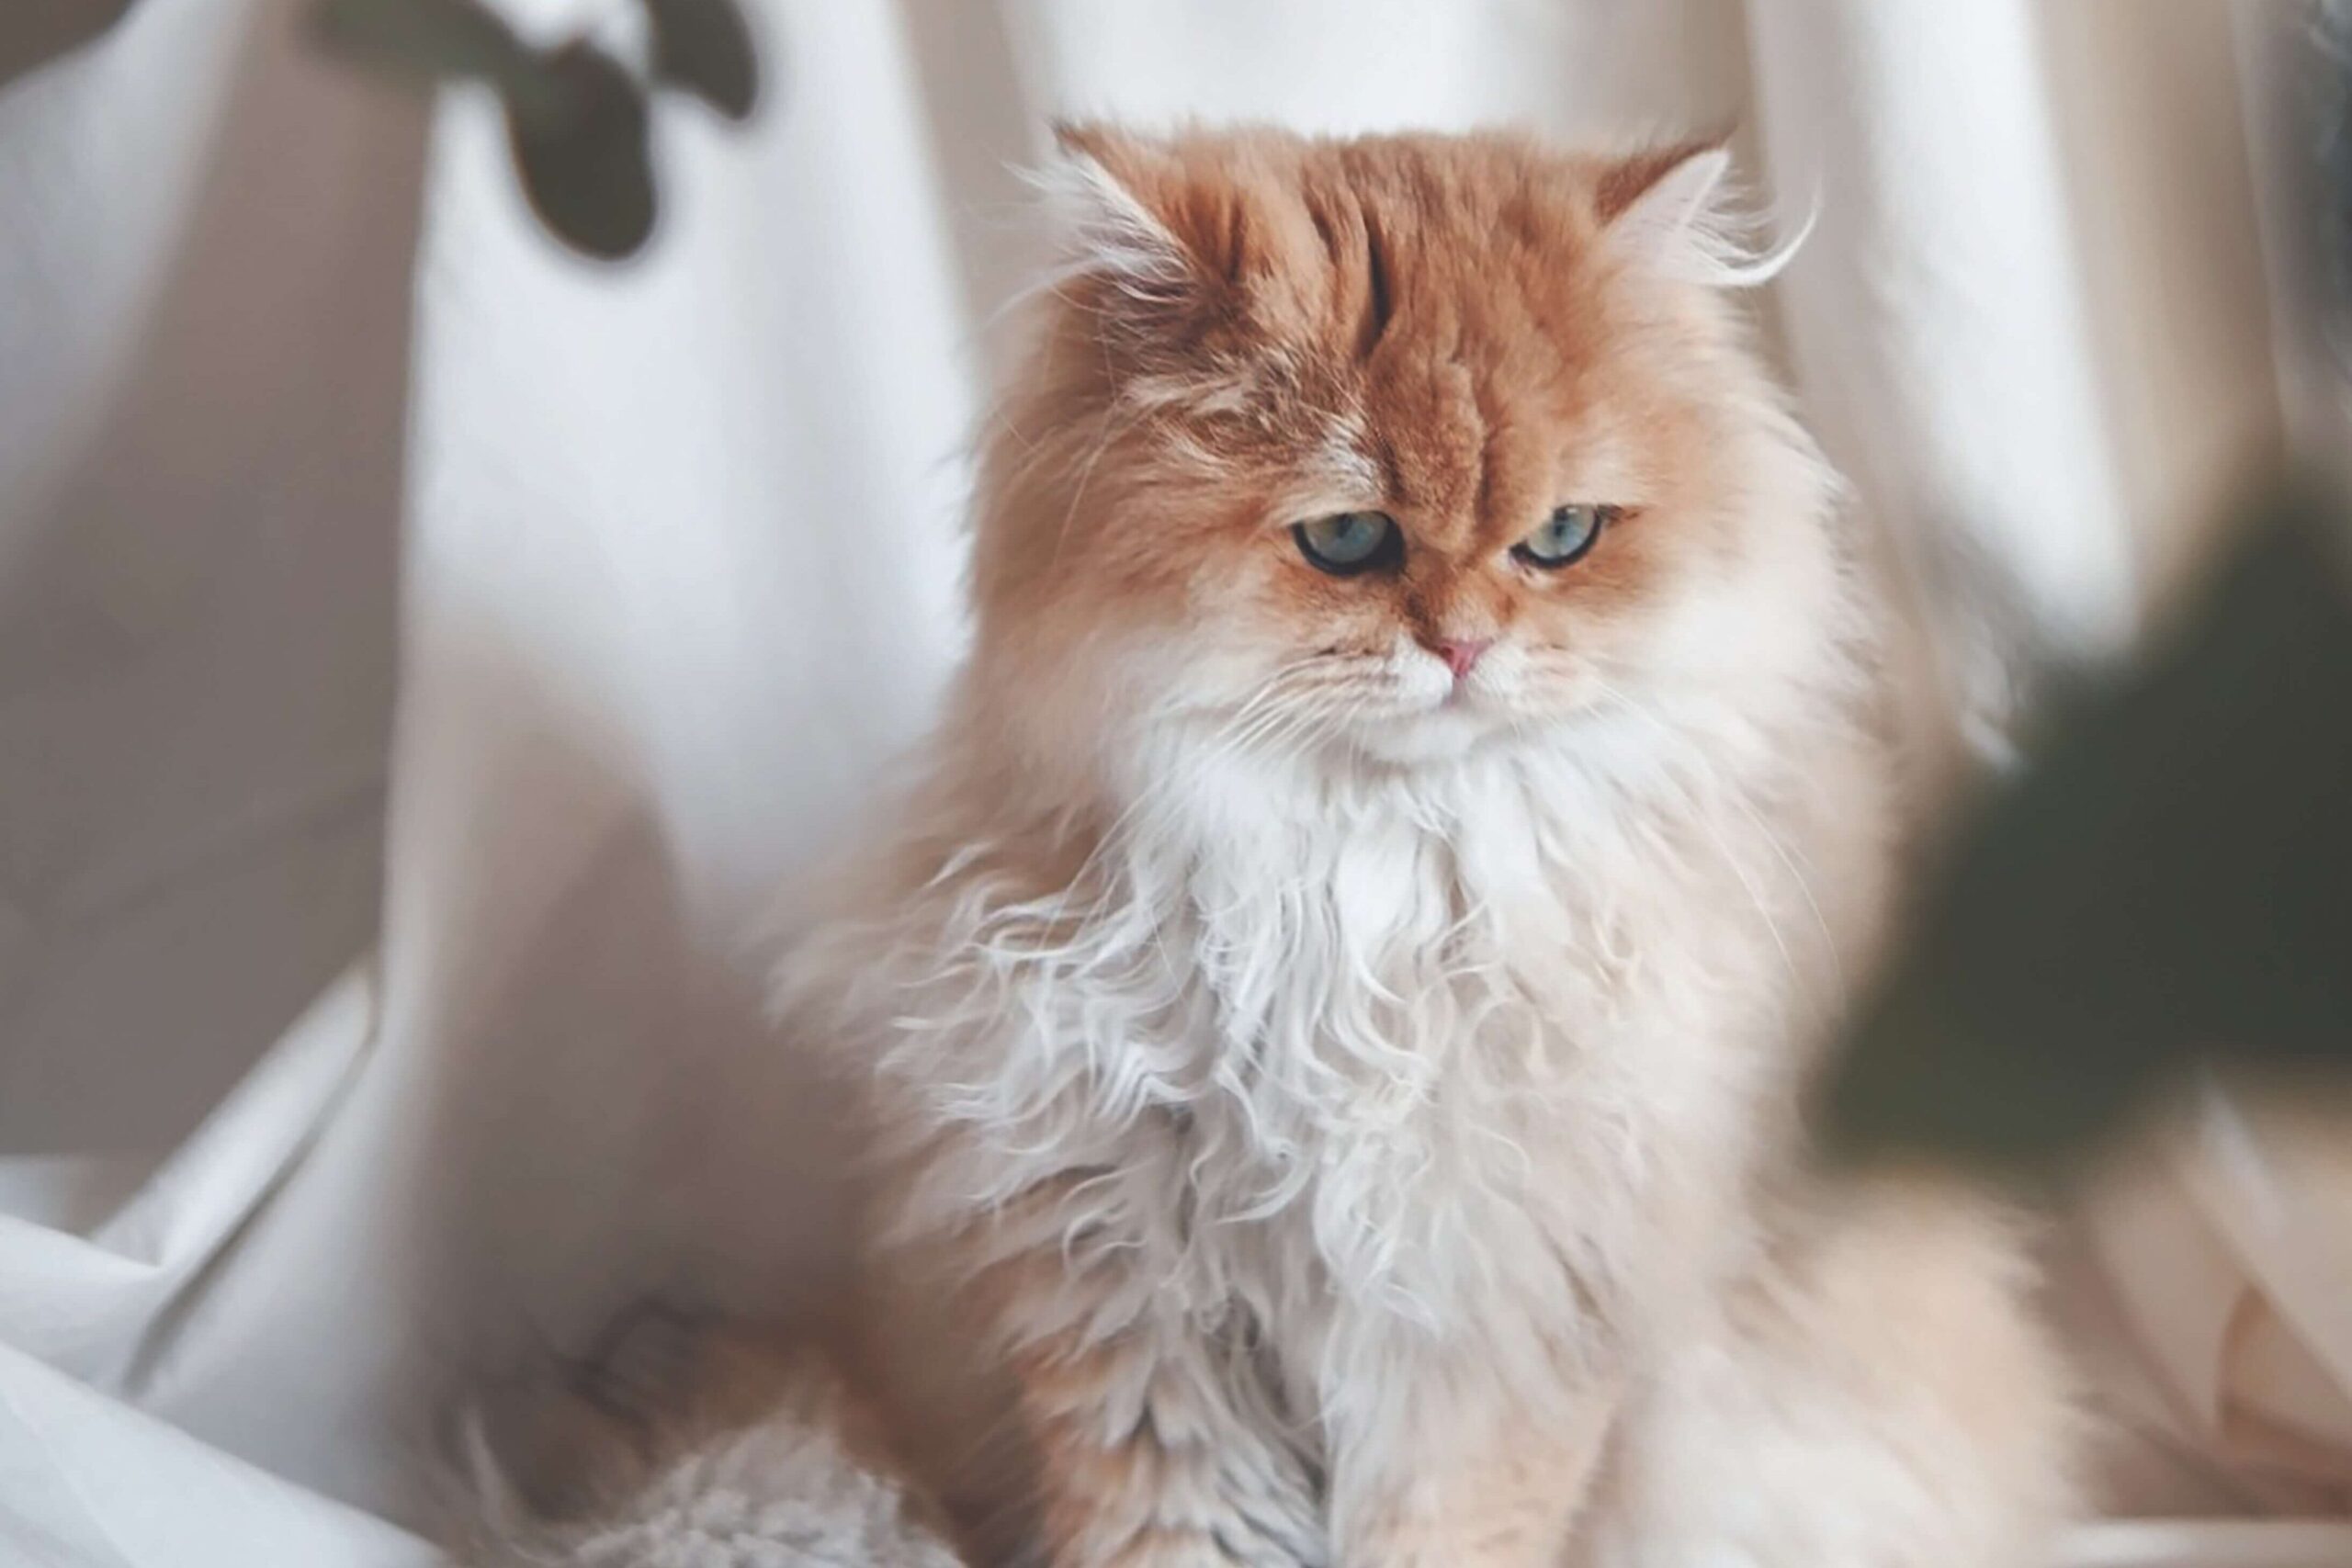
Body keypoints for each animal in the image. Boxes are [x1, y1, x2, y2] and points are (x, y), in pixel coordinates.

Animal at [775, 125, 2079, 1568]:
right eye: (1347, 538)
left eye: (1559, 537)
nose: (1462, 647)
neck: (1359, 884)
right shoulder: (1123, 1284)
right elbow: (1164, 1524)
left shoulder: (1494, 1321)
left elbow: (1440, 1530)